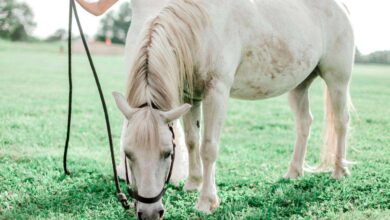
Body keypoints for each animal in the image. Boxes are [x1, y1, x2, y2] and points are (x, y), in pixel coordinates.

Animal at [112, 0, 354, 217]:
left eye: (167, 153)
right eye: (128, 153)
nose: (149, 213)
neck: (200, 28)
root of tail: (342, 7)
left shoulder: (217, 92)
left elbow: (208, 147)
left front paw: (206, 201)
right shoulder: (190, 97)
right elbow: (191, 141)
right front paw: (193, 184)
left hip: (337, 80)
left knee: (341, 122)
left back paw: (339, 170)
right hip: (299, 86)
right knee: (304, 123)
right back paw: (294, 172)